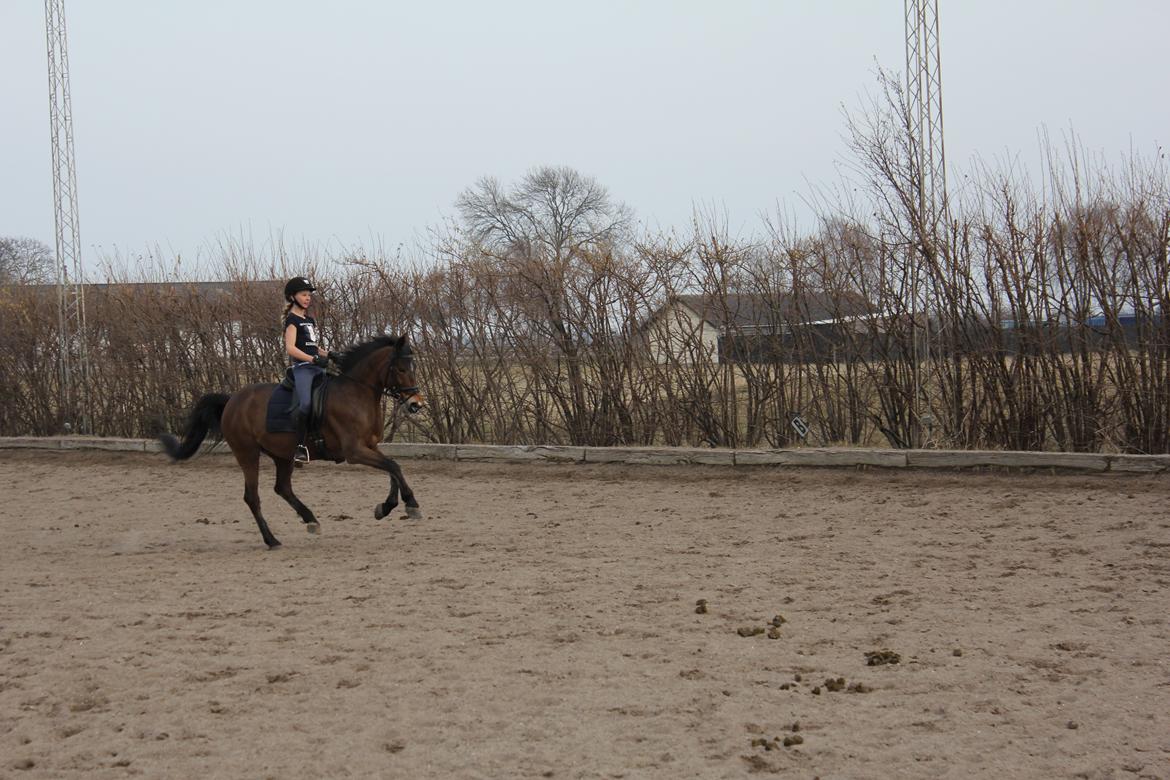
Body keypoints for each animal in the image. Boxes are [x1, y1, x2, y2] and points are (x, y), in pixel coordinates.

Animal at [157, 336, 425, 549]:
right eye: (401, 369)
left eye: (412, 366)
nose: (416, 404)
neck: (356, 393)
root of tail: (232, 400)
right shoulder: (354, 451)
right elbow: (393, 466)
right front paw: (411, 504)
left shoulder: (371, 447)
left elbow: (392, 468)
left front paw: (386, 507)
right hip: (247, 453)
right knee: (252, 497)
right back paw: (272, 540)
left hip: (282, 455)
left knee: (282, 488)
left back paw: (311, 520)